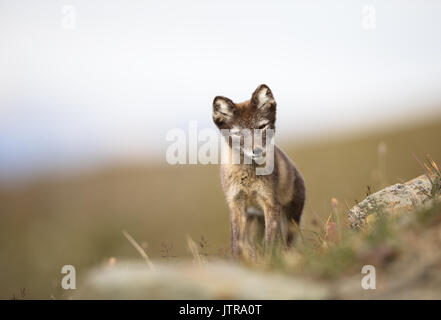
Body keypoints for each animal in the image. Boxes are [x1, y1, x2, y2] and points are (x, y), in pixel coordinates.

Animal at [211, 83, 304, 258]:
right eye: (239, 134)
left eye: (261, 127)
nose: (258, 150)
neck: (247, 177)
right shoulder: (236, 203)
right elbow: (236, 242)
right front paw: (237, 261)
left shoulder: (270, 202)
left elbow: (270, 241)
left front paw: (270, 260)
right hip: (253, 219)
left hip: (289, 219)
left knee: (287, 242)